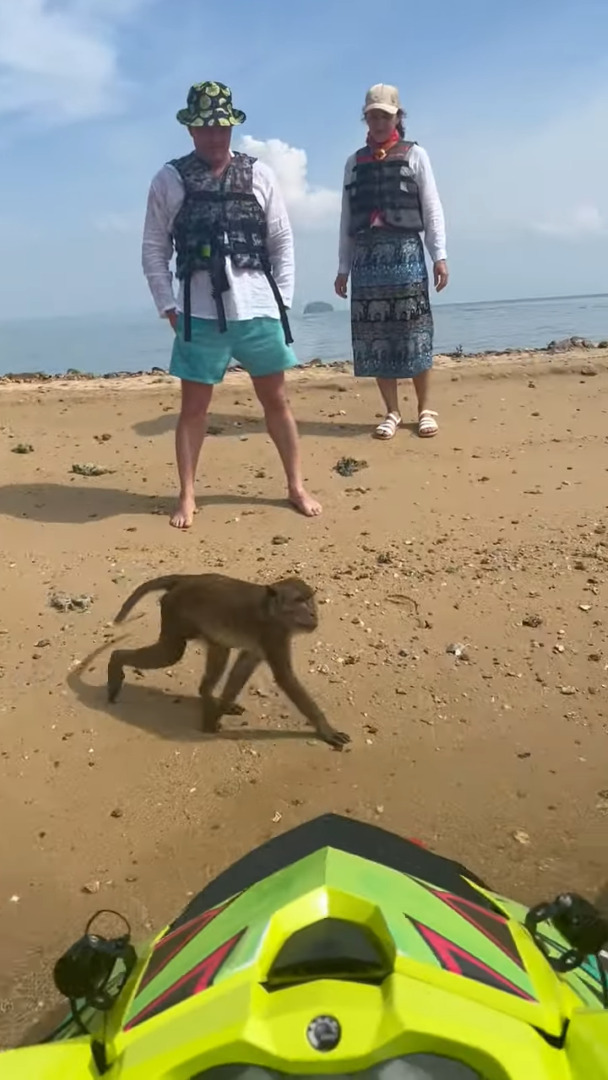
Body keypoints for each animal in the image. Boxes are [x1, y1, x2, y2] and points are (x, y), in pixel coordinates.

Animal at [106, 574, 349, 751]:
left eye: (310, 599)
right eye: (300, 601)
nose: (313, 613)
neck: (272, 608)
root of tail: (185, 579)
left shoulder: (265, 642)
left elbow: (243, 667)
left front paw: (219, 712)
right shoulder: (275, 634)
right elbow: (285, 678)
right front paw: (325, 729)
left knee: (219, 649)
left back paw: (209, 699)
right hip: (175, 612)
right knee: (171, 653)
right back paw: (116, 662)